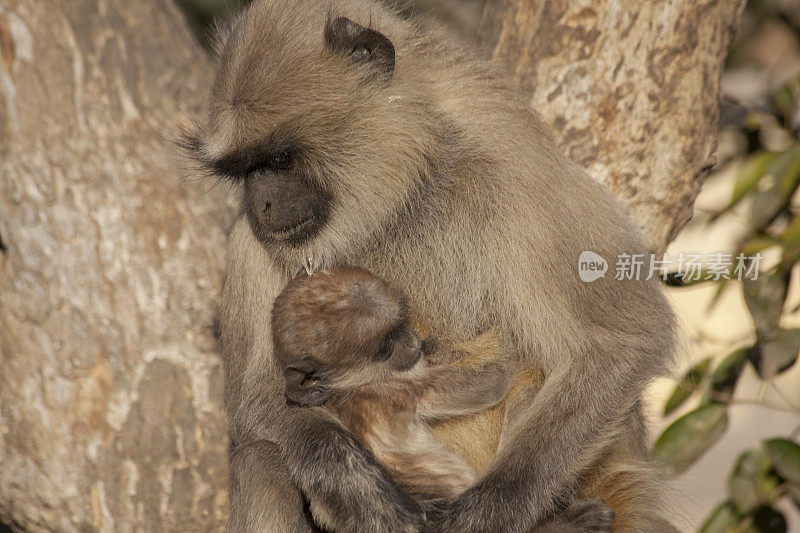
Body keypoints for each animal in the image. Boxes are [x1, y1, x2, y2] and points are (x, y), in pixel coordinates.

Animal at [272, 266, 616, 528]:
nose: (412, 341)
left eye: (402, 325)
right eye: (386, 347)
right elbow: (493, 378)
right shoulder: (392, 389)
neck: (344, 391)